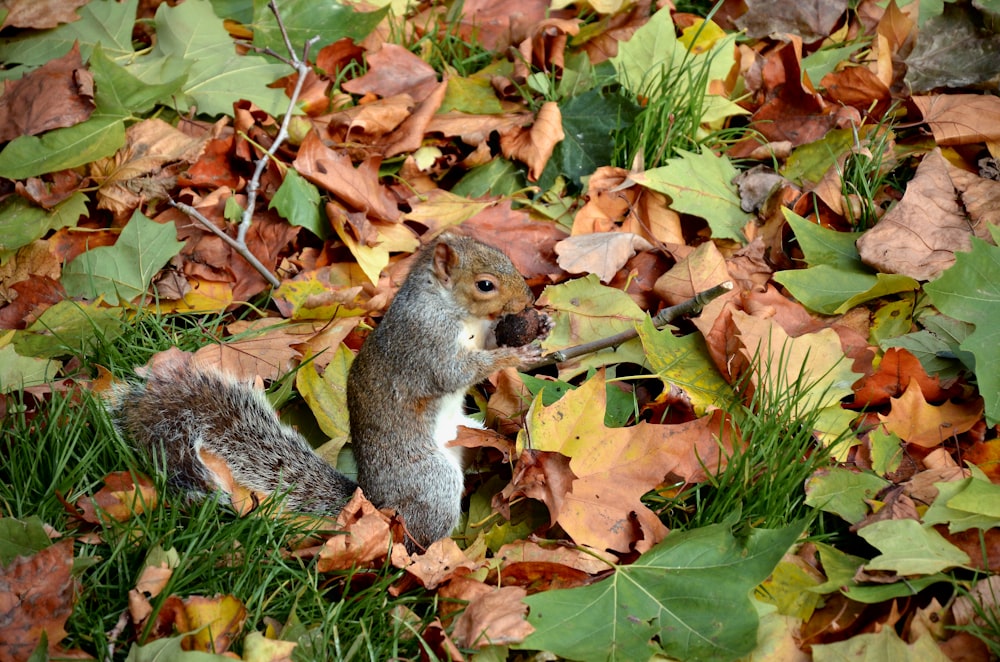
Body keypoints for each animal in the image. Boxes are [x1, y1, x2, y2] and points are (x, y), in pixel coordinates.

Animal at [109, 236, 548, 552]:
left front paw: (539, 326)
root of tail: (372, 504)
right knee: (418, 537)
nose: (529, 299)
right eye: (485, 285)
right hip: (429, 481)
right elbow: (454, 372)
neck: (452, 310)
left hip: (467, 434)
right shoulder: (423, 344)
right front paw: (516, 354)